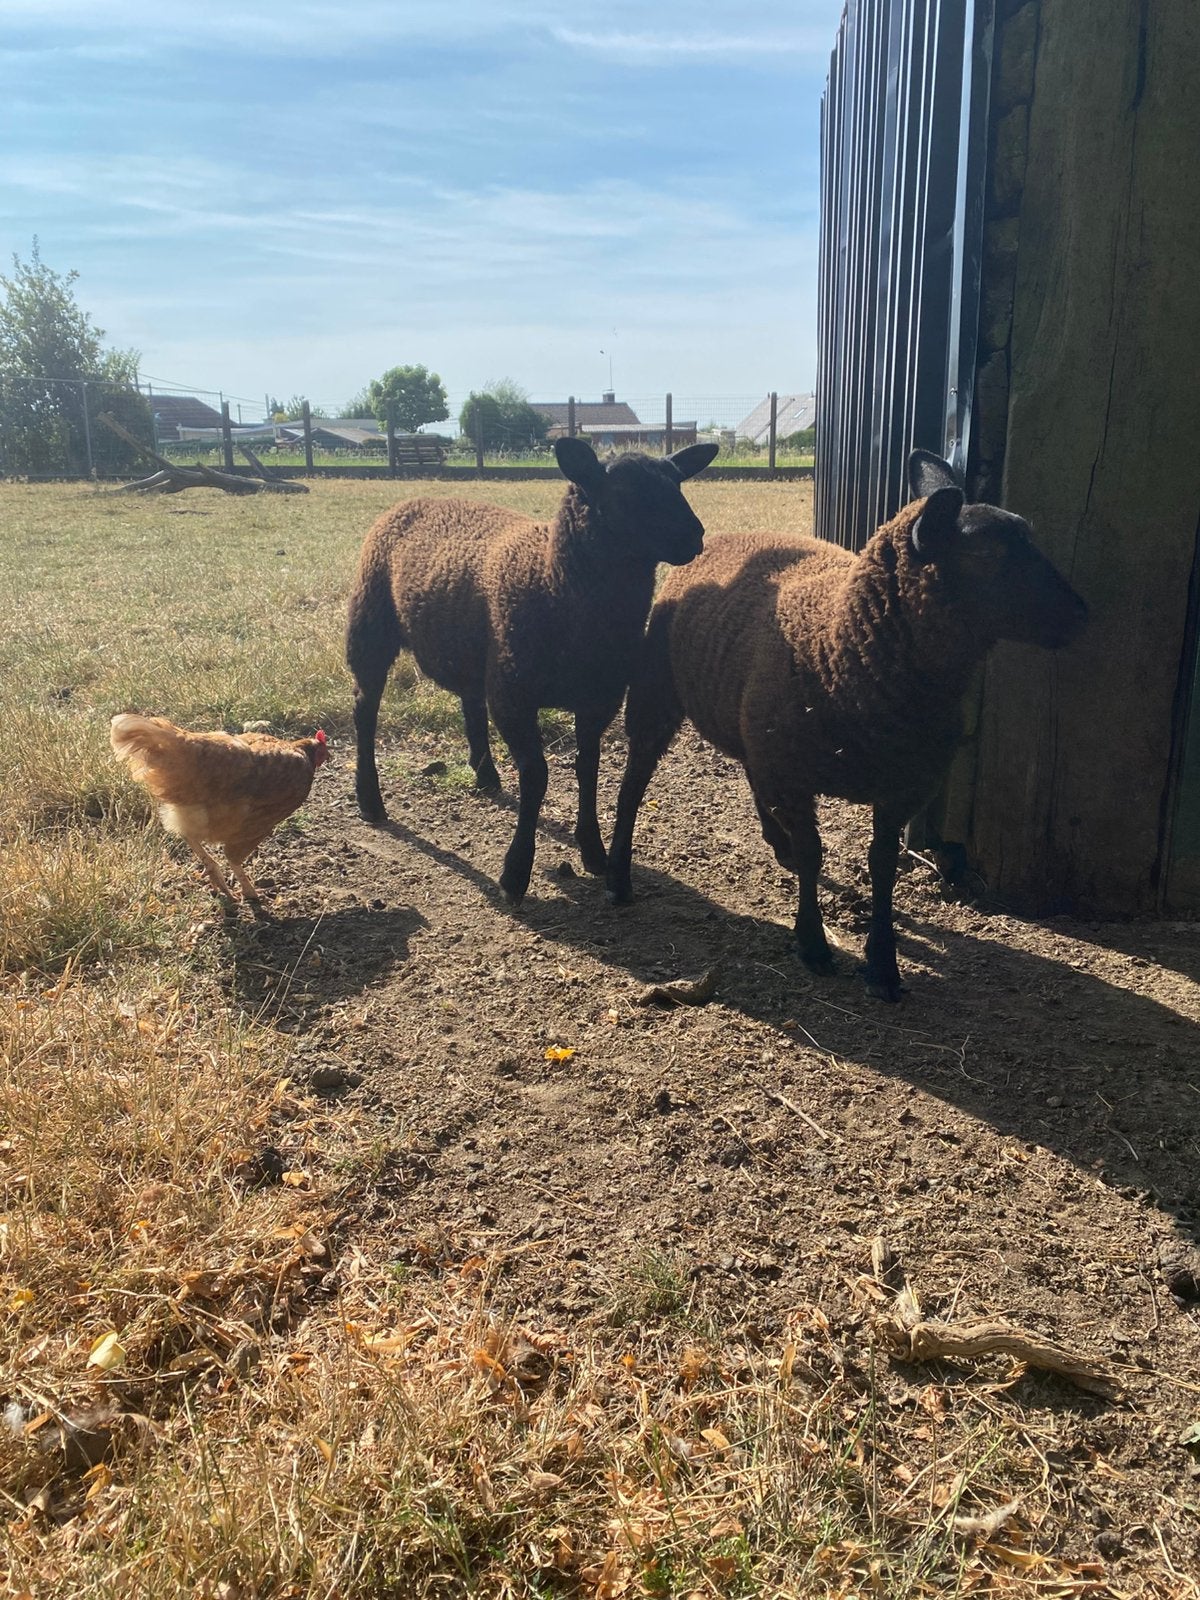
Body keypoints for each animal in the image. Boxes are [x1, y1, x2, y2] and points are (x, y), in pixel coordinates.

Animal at [346, 435, 719, 905]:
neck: (553, 579)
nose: (694, 535)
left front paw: (593, 851)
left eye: (677, 483)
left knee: (470, 700)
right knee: (365, 708)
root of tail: (420, 497)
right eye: (624, 492)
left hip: (478, 651)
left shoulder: (598, 699)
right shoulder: (514, 696)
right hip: (371, 621)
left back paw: (485, 775)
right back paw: (370, 799)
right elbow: (537, 775)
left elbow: (588, 768)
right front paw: (515, 873)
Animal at [604, 449, 1088, 1001]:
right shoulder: (795, 775)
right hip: (658, 690)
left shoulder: (903, 785)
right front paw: (813, 944)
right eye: (990, 554)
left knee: (750, 770)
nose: (1081, 614)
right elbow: (815, 854)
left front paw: (882, 964)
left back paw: (775, 843)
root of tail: (724, 538)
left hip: (757, 730)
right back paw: (618, 876)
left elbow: (882, 865)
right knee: (635, 781)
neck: (840, 639)